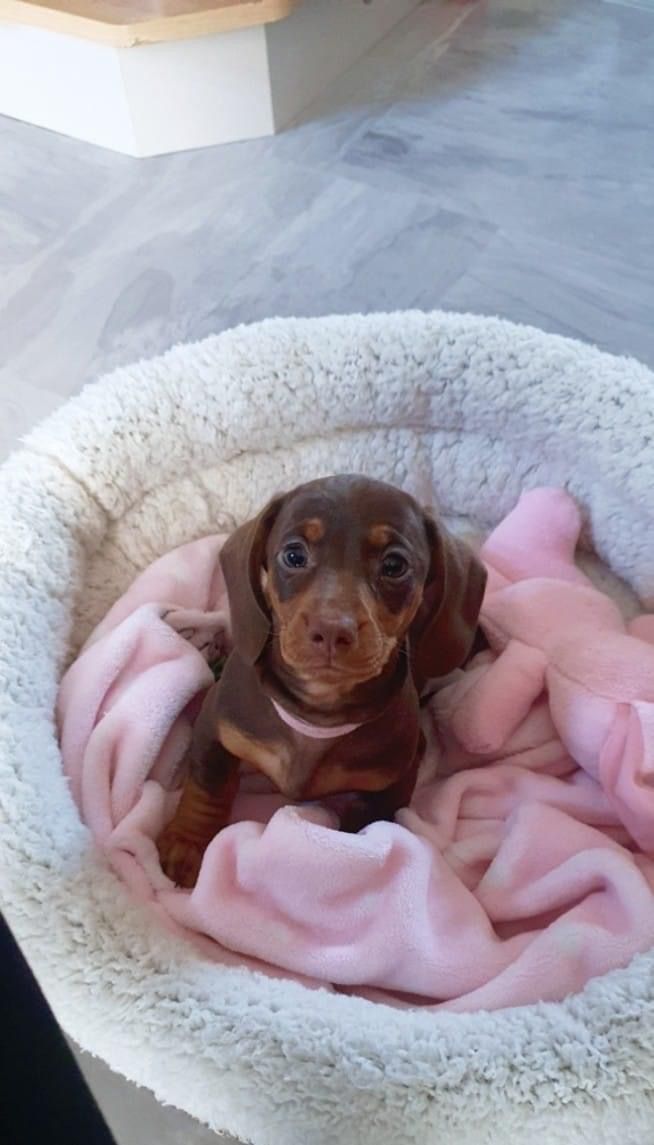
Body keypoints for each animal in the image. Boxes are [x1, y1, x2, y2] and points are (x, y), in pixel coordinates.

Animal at [159, 474, 485, 883]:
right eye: (294, 555)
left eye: (394, 564)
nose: (331, 630)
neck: (316, 714)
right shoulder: (214, 726)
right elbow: (208, 784)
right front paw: (186, 842)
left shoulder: (396, 777)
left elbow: (365, 823)